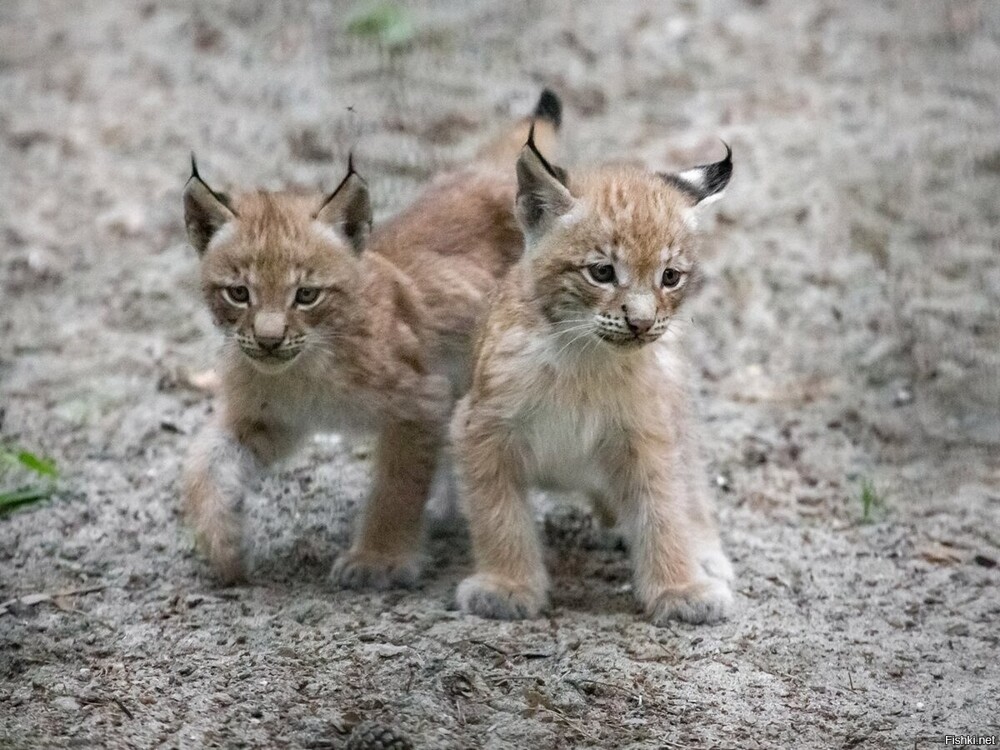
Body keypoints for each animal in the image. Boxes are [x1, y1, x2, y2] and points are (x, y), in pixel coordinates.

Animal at [182, 92, 564, 588]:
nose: (268, 340)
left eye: (306, 295)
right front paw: (223, 543)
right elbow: (203, 461)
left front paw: (378, 558)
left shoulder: (418, 399)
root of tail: (490, 172)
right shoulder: (270, 418)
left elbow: (395, 485)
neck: (304, 366)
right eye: (238, 294)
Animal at [454, 132, 736, 624]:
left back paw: (703, 553)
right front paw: (507, 586)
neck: (585, 355)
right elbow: (498, 512)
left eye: (670, 277)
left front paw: (680, 589)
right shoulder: (482, 427)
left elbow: (663, 509)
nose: (641, 324)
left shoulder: (647, 432)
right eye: (602, 272)